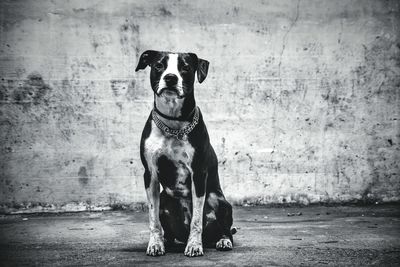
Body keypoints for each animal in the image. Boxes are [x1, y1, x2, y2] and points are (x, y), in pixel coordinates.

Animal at [135, 50, 234, 258]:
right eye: (159, 65)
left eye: (185, 67)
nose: (171, 78)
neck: (174, 124)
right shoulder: (150, 175)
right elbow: (153, 218)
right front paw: (155, 244)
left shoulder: (198, 175)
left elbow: (196, 220)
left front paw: (194, 245)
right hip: (165, 199)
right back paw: (167, 241)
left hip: (217, 199)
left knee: (225, 228)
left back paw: (223, 240)